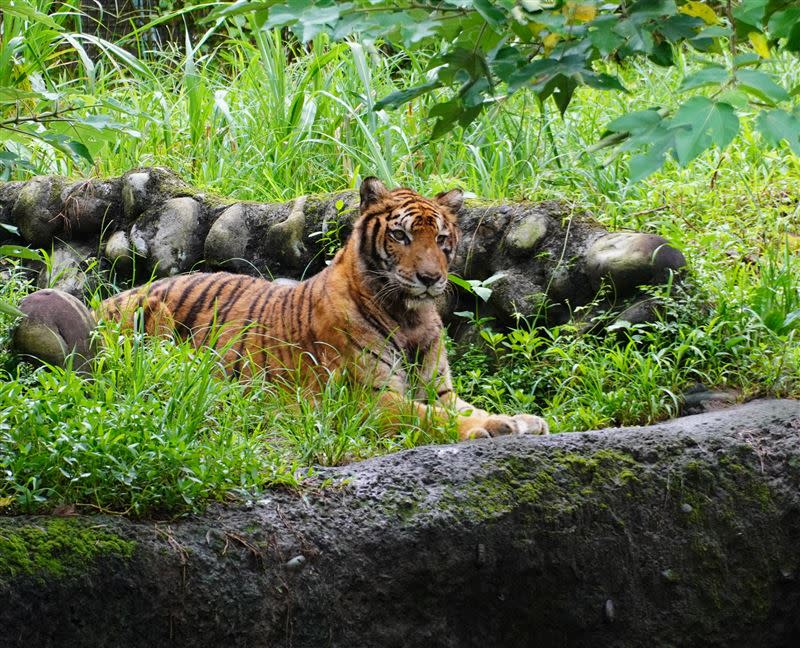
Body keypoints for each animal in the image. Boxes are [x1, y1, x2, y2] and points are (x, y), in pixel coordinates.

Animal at [100, 177, 552, 440]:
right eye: (401, 236)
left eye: (442, 239)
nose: (429, 278)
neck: (410, 315)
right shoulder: (371, 399)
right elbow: (431, 418)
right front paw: (493, 426)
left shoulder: (441, 391)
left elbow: (465, 405)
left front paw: (526, 419)